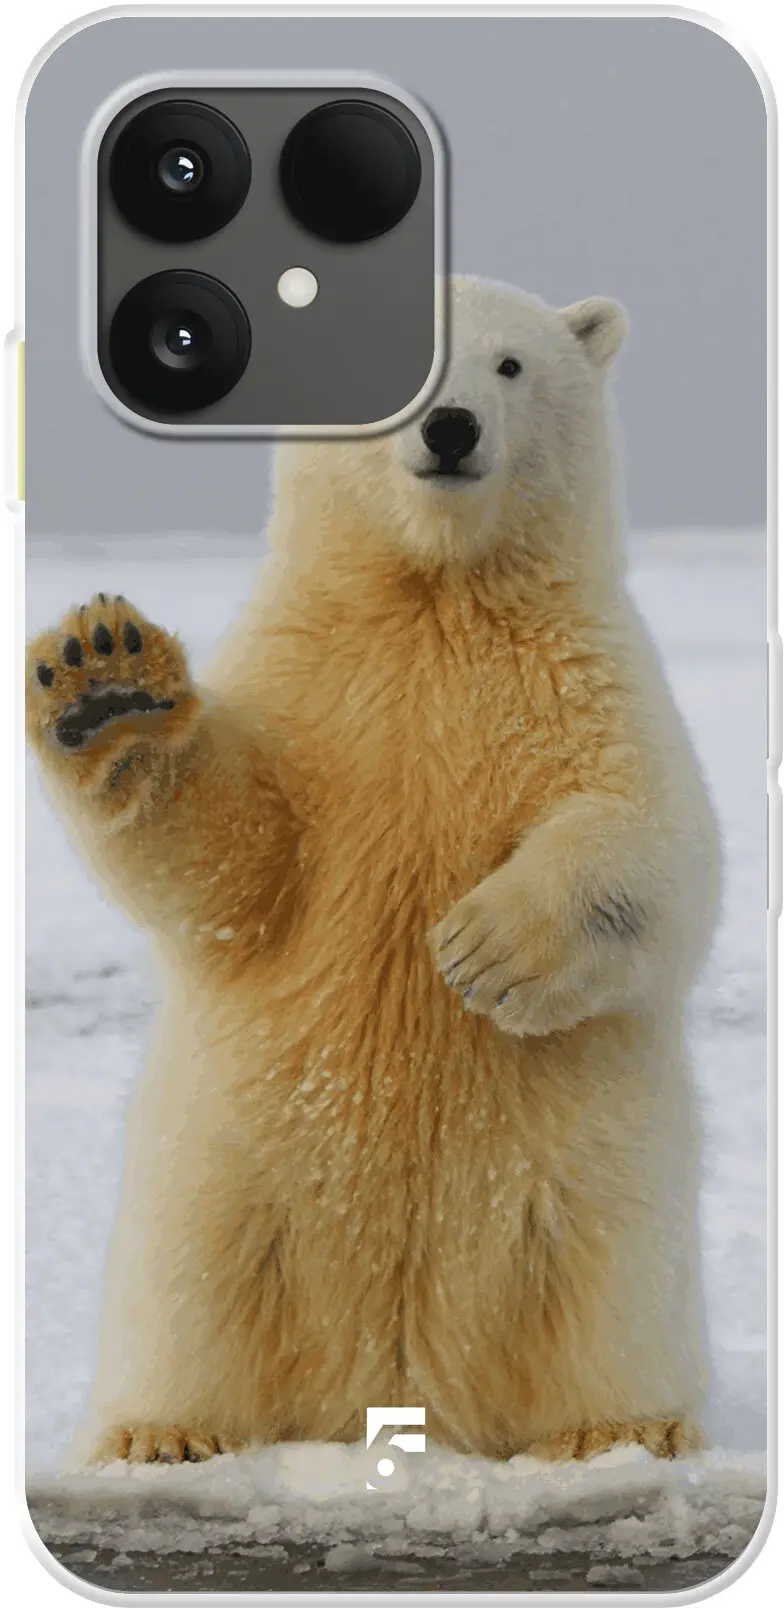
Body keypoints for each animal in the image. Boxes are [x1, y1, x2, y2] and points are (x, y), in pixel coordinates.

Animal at [27, 277, 719, 1469]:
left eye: (510, 366)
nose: (450, 427)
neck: (432, 594)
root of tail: (396, 1389)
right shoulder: (309, 683)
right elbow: (234, 862)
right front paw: (105, 682)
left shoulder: (586, 678)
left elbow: (656, 841)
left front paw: (483, 948)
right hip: (220, 1169)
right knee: (194, 1287)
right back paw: (162, 1432)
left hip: (594, 1183)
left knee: (606, 1283)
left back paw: (619, 1428)